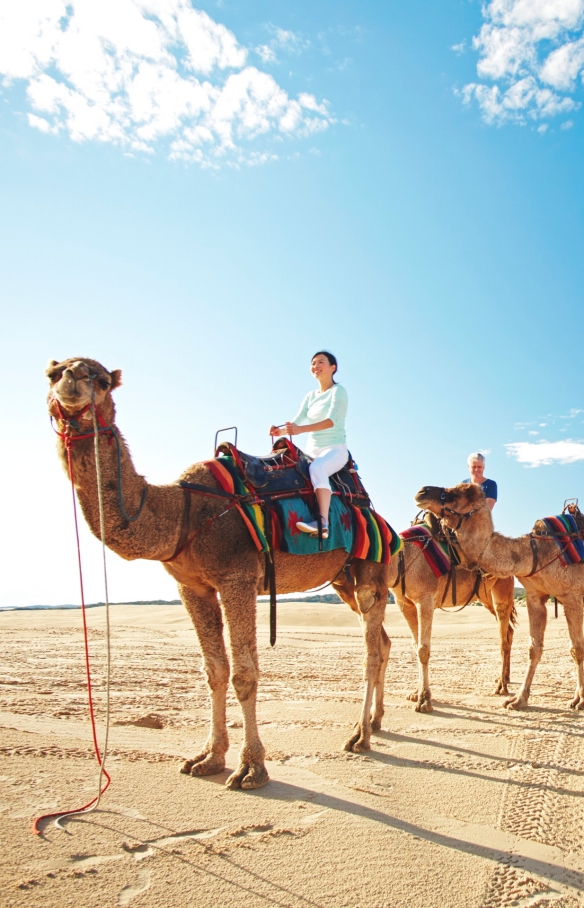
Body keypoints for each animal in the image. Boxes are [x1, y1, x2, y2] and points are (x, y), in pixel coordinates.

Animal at [45, 356, 392, 788]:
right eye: (52, 374)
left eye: (104, 380)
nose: (72, 379)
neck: (183, 511)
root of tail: (378, 514)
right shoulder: (192, 587)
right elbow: (214, 670)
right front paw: (208, 757)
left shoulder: (236, 579)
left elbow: (244, 673)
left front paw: (251, 768)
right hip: (344, 579)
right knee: (383, 641)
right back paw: (374, 724)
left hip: (371, 571)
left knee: (372, 651)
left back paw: (360, 737)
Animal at [384, 528, 516, 712]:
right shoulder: (405, 604)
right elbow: (416, 646)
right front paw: (416, 693)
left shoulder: (425, 598)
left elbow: (423, 649)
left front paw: (424, 700)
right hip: (485, 596)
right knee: (508, 631)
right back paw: (504, 678)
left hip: (503, 588)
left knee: (503, 638)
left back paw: (501, 686)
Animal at [416, 486, 584, 712]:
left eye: (458, 494)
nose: (422, 492)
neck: (535, 553)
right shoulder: (535, 596)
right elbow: (534, 649)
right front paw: (518, 700)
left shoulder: (572, 596)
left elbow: (577, 649)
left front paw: (580, 700)